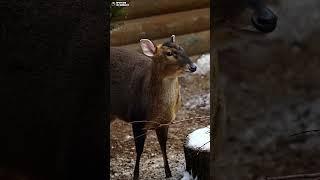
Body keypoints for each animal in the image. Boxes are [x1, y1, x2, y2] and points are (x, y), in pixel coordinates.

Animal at [110, 34, 196, 179]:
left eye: (182, 48)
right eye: (169, 53)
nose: (193, 67)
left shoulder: (164, 123)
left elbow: (163, 146)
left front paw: (168, 173)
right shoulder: (137, 119)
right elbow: (139, 150)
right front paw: (136, 175)